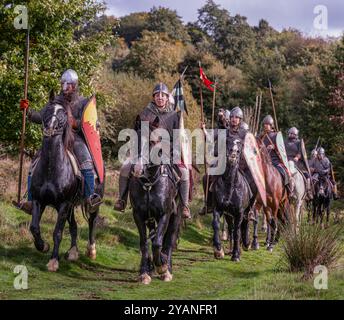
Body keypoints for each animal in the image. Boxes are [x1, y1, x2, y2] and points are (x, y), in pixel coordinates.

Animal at [29, 99, 105, 272]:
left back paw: (91, 250)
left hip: (93, 203)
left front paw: (53, 261)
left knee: (92, 221)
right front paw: (43, 246)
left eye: (63, 113)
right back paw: (73, 252)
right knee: (74, 227)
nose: (49, 128)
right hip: (70, 206)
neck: (51, 168)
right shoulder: (39, 201)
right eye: (47, 110)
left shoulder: (63, 204)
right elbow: (34, 228)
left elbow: (57, 232)